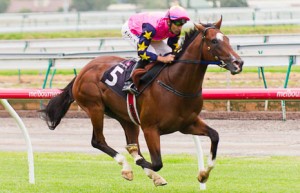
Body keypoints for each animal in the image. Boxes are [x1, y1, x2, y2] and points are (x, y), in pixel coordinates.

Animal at [41, 17, 244, 185]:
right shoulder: (150, 128)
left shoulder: (187, 124)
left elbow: (215, 136)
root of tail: (84, 69)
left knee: (128, 141)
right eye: (214, 41)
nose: (238, 63)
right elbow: (156, 162)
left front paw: (203, 174)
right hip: (95, 108)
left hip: (126, 117)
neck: (176, 83)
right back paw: (127, 167)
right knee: (98, 141)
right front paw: (139, 161)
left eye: (227, 39)